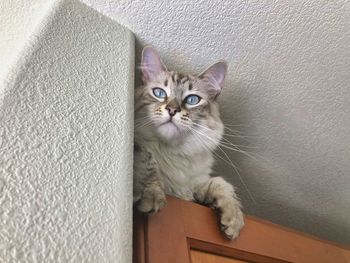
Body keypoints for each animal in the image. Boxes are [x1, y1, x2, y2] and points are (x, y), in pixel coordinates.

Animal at [133, 46, 245, 240]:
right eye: (159, 93)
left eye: (192, 100)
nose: (172, 110)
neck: (173, 152)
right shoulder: (138, 145)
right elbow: (148, 160)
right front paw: (152, 196)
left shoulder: (191, 192)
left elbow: (222, 184)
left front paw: (233, 221)